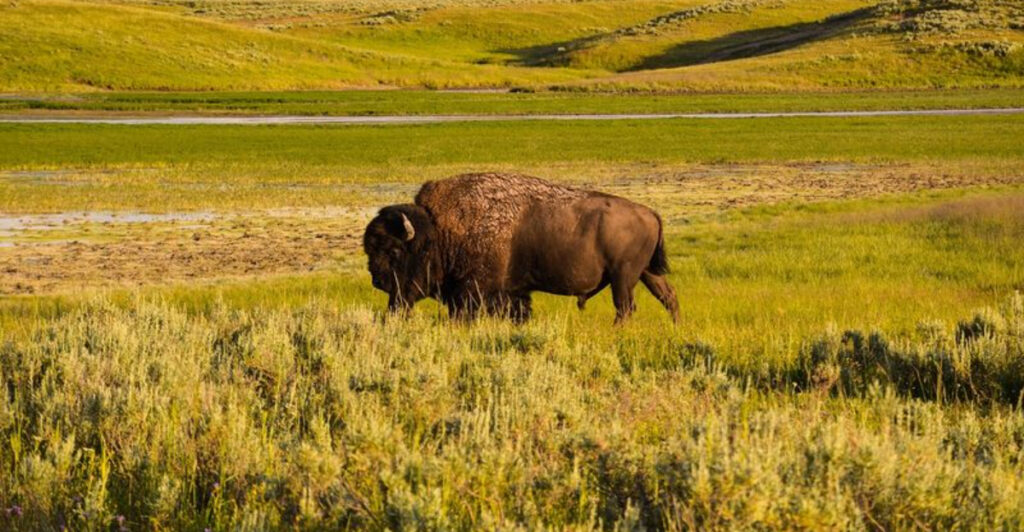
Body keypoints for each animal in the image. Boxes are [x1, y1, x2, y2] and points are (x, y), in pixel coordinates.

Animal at [362, 174, 679, 323]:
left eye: (394, 251)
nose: (377, 280)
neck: (440, 231)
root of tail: (651, 213)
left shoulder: (472, 292)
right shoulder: (511, 294)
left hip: (623, 277)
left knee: (625, 307)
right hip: (646, 273)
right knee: (668, 297)